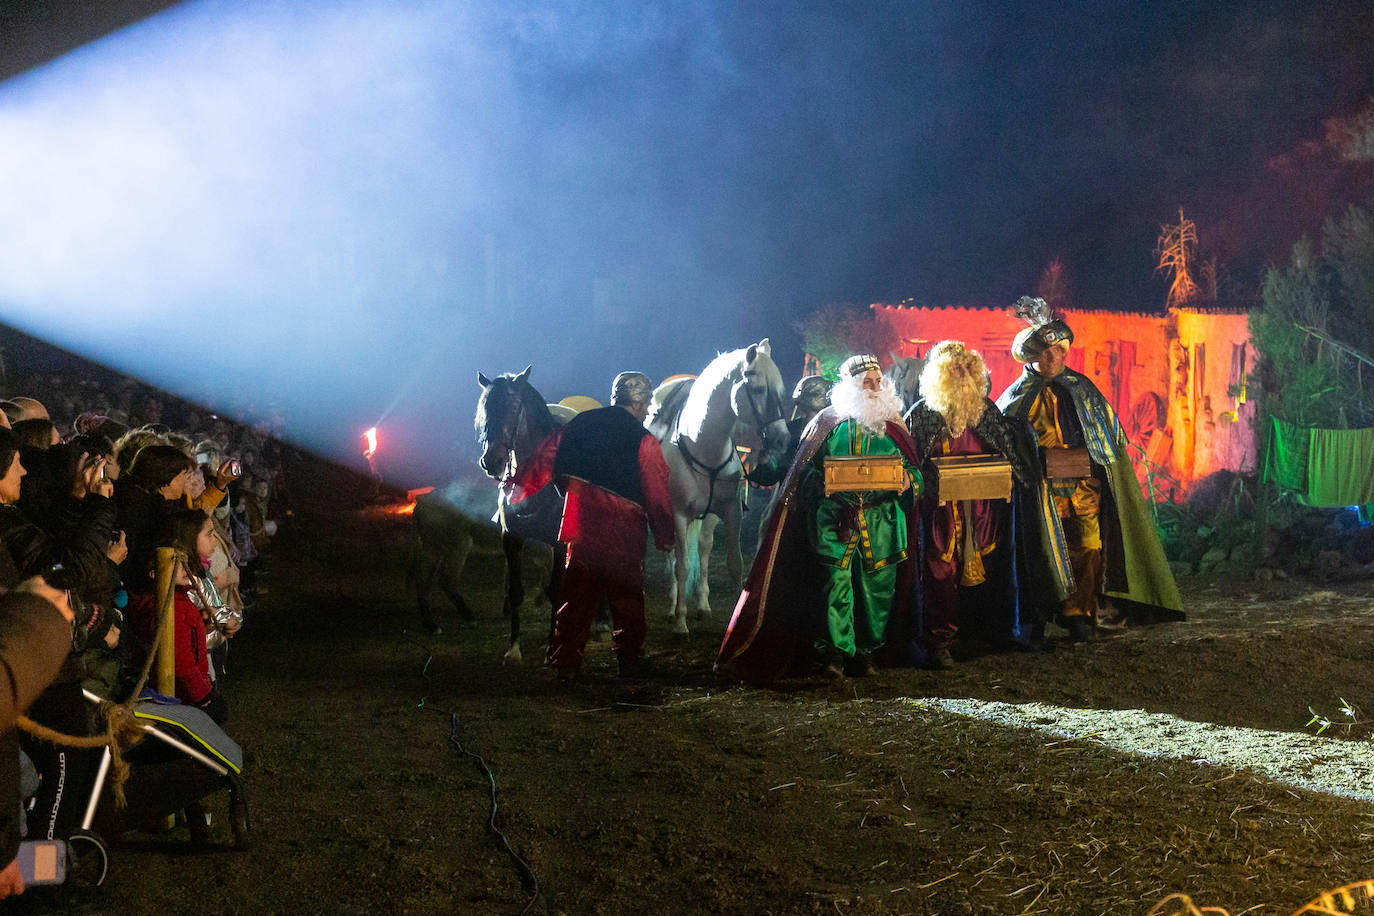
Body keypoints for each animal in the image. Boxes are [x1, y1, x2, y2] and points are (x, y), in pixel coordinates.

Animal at [648, 340, 791, 634]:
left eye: (780, 390)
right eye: (758, 389)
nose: (783, 440)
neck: (702, 444)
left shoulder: (730, 511)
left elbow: (735, 563)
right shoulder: (679, 515)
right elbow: (681, 566)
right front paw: (680, 621)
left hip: (710, 516)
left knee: (703, 548)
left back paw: (702, 605)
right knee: (673, 557)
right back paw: (673, 607)